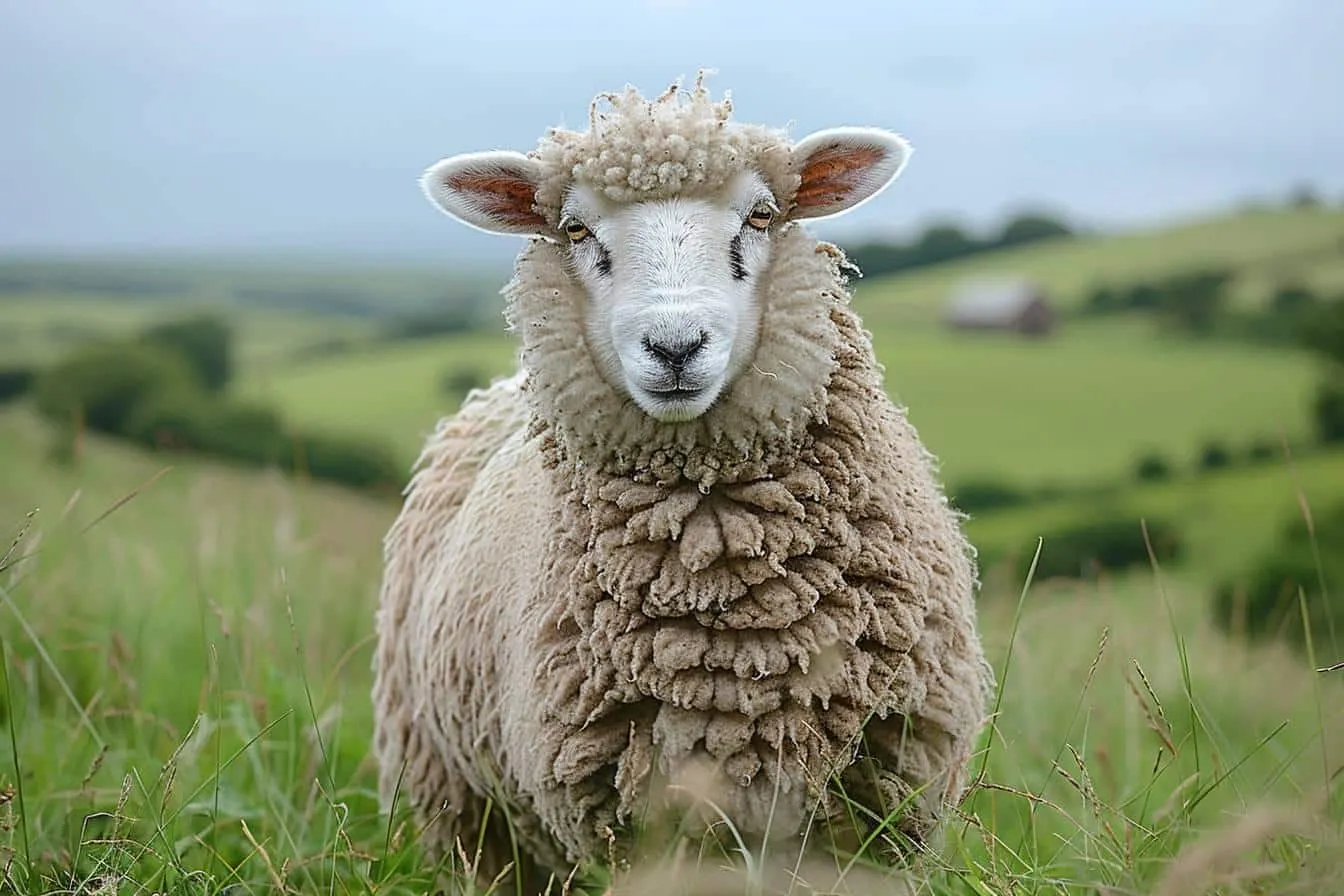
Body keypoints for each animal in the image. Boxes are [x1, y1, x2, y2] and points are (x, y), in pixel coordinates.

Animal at [371, 72, 996, 889]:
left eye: (761, 215)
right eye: (576, 230)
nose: (674, 347)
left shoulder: (879, 810)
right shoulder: (637, 822)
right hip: (462, 806)